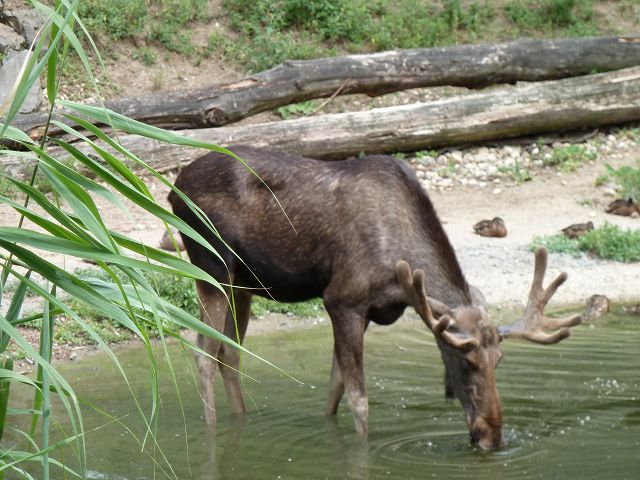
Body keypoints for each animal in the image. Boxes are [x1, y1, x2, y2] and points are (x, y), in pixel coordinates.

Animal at [168, 145, 582, 450]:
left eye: (500, 359)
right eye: (466, 364)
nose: (491, 436)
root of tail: (173, 188)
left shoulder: (365, 310)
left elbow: (335, 387)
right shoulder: (342, 299)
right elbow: (359, 399)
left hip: (242, 283)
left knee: (230, 352)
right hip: (211, 267)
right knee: (204, 354)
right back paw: (212, 431)